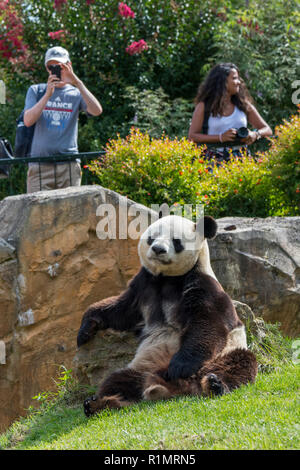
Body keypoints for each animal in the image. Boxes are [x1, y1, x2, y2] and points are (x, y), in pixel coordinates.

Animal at [77, 213, 258, 414]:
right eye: (152, 237)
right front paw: (85, 330)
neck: (166, 278)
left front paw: (180, 366)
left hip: (225, 352)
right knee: (117, 382)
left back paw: (214, 385)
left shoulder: (202, 285)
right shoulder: (143, 285)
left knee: (238, 364)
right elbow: (121, 309)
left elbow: (208, 323)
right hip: (143, 367)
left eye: (176, 241)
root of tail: (172, 388)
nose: (158, 249)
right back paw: (98, 403)